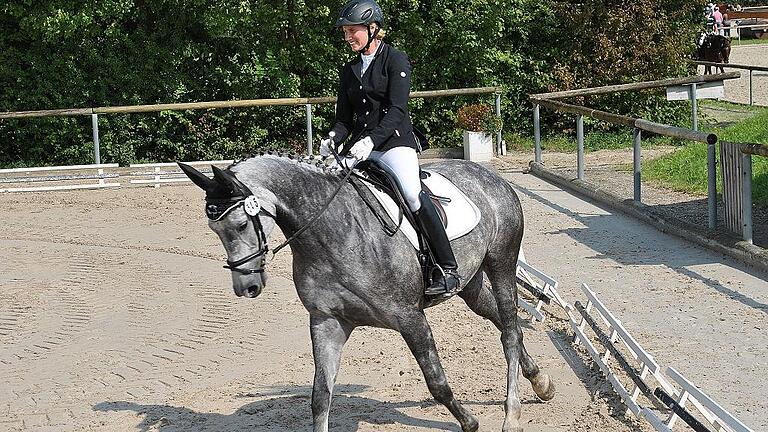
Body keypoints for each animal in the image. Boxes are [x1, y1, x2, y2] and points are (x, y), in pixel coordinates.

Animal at [178, 155, 556, 432]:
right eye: (214, 229)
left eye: (242, 224)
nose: (247, 287)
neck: (330, 231)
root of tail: (489, 175)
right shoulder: (327, 322)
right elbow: (320, 396)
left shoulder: (410, 318)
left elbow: (437, 382)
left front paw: (470, 422)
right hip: (471, 282)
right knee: (501, 320)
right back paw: (541, 383)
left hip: (501, 262)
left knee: (510, 331)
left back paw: (512, 415)